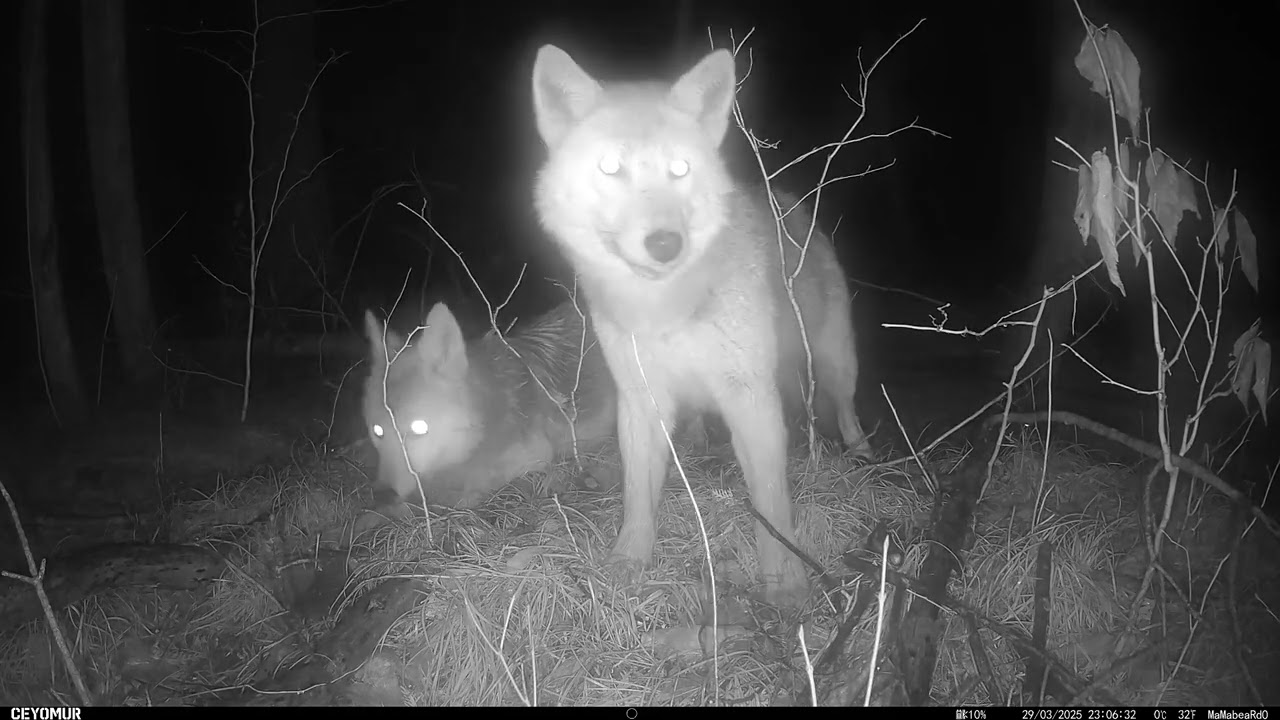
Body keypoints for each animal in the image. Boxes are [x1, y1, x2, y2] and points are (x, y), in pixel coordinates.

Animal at [530, 45, 872, 605]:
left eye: (680, 168)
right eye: (610, 167)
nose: (665, 243)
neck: (668, 309)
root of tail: (791, 203)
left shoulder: (750, 396)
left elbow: (771, 503)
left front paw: (785, 580)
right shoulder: (641, 399)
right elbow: (638, 496)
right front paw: (628, 563)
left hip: (835, 364)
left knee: (846, 412)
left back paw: (864, 456)